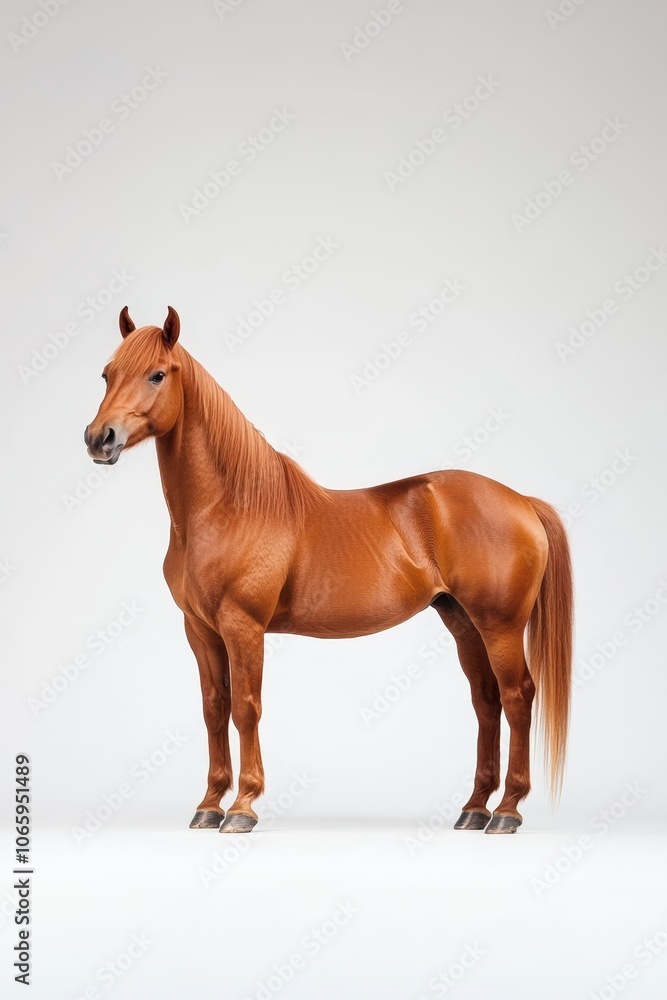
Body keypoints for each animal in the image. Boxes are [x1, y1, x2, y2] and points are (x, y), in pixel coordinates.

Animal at [84, 307, 573, 835]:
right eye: (107, 374)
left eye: (157, 374)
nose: (98, 439)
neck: (228, 507)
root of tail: (521, 500)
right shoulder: (199, 628)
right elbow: (214, 708)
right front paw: (209, 804)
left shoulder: (242, 626)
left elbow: (246, 708)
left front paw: (243, 807)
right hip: (462, 621)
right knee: (486, 701)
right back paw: (474, 808)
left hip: (500, 625)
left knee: (517, 697)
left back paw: (507, 811)